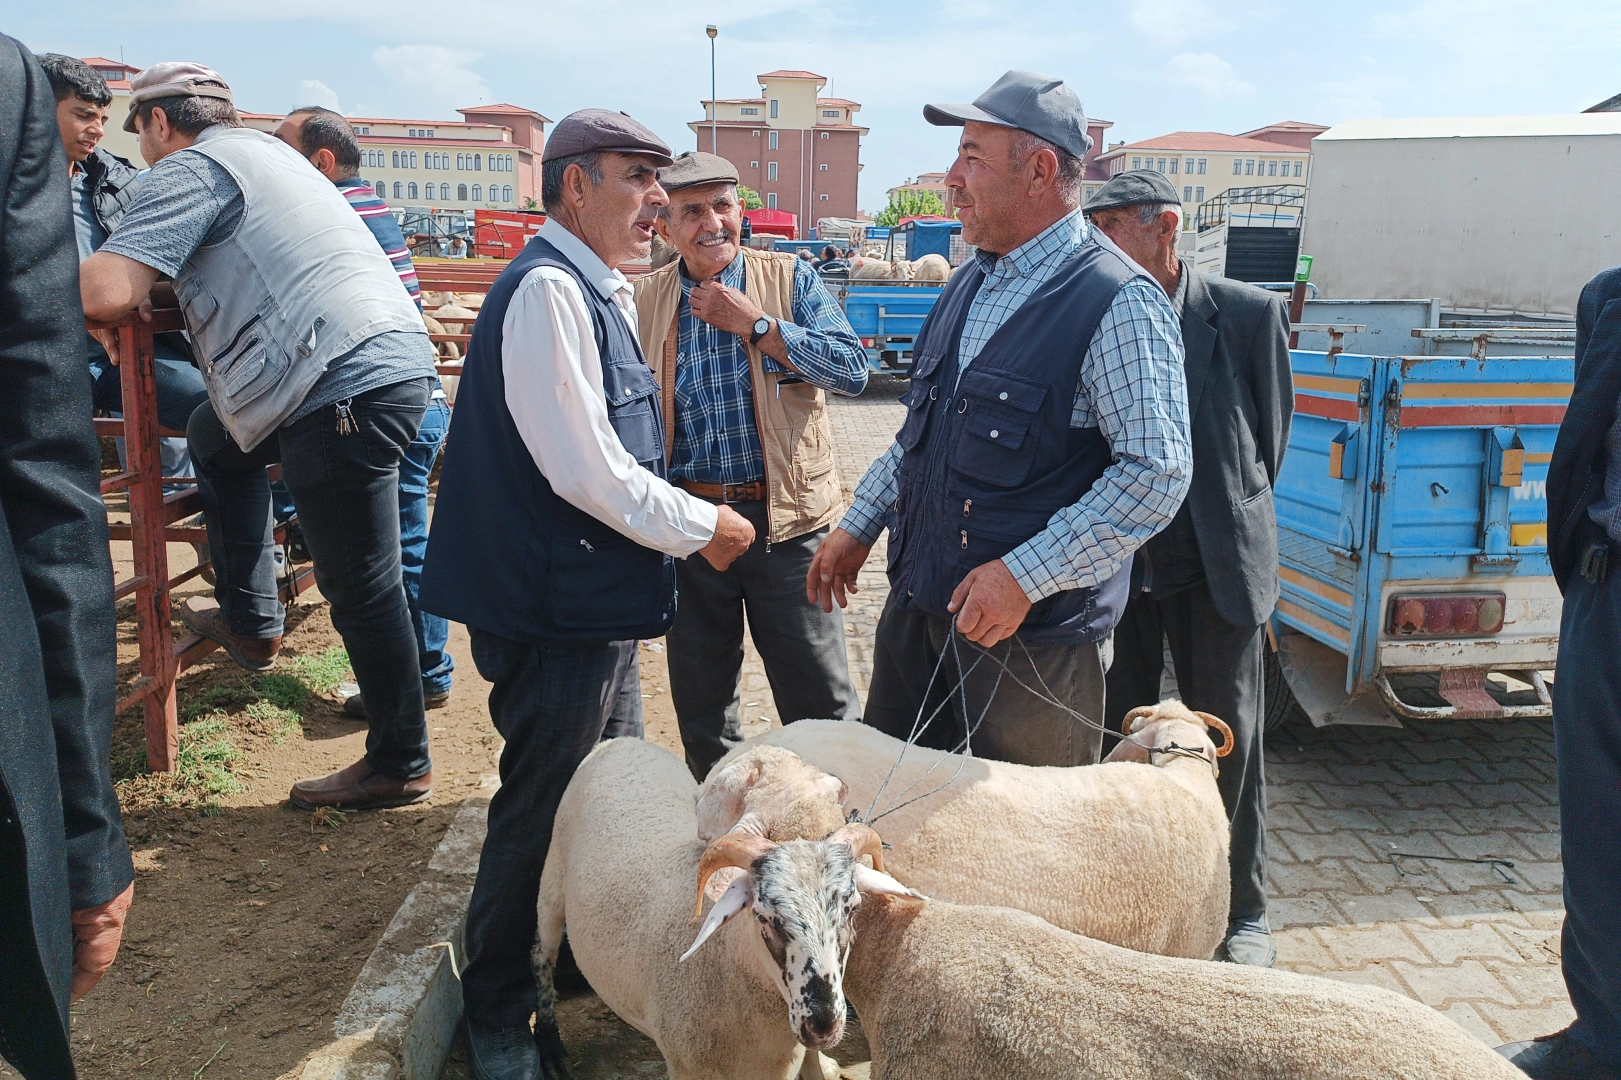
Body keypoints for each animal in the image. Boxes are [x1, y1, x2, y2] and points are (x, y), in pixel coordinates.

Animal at [531, 736, 888, 1076]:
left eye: (852, 909)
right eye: (763, 916)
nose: (823, 1025)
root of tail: (620, 740)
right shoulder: (688, 1065)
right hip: (551, 882)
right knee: (542, 955)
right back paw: (551, 1050)